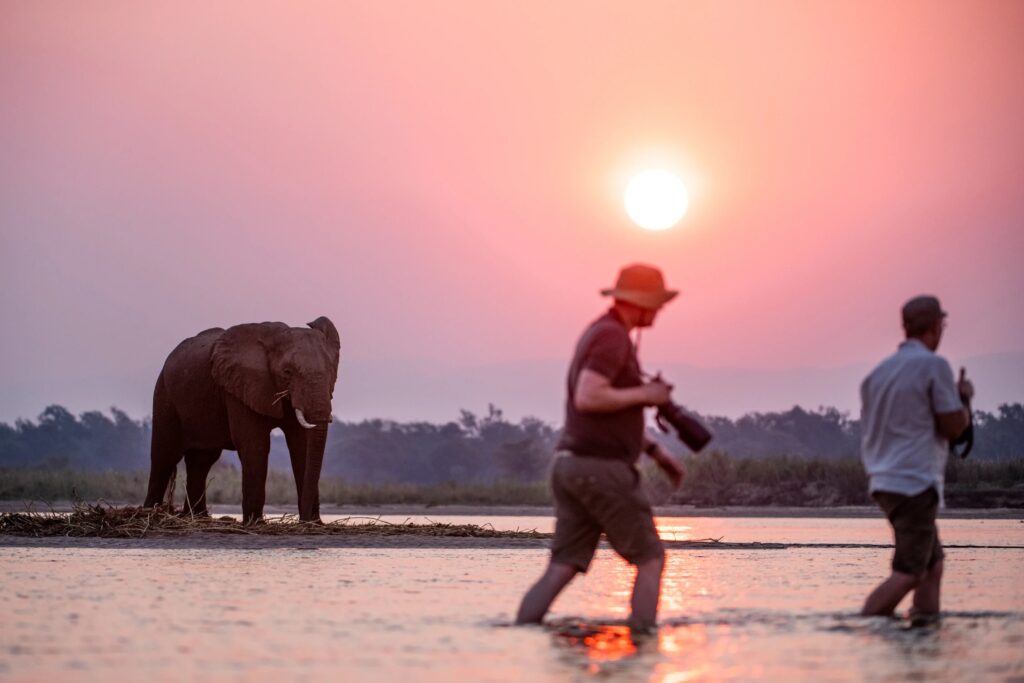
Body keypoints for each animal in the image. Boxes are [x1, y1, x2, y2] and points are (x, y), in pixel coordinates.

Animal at [143, 316, 340, 523]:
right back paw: (150, 513)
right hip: (164, 394)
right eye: (287, 372)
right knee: (164, 455)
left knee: (202, 460)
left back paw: (197, 517)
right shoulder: (239, 388)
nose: (307, 519)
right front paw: (256, 523)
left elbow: (301, 446)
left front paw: (314, 523)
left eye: (332, 370)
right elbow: (255, 445)